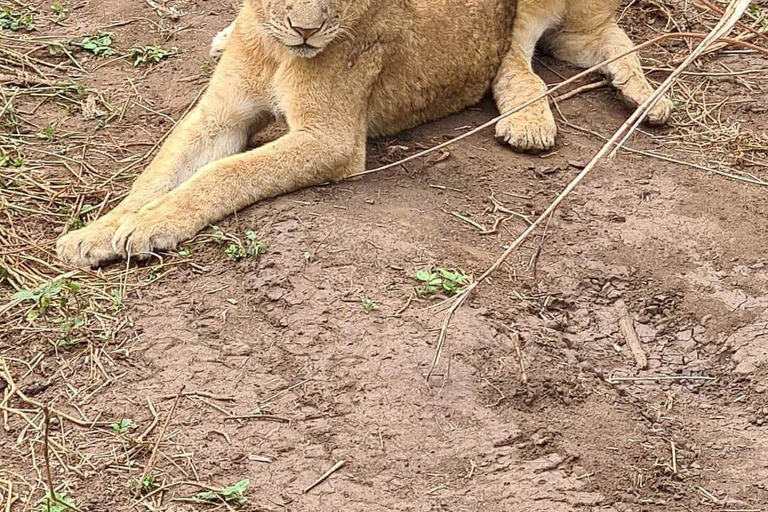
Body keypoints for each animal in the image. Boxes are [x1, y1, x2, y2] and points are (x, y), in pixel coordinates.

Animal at [58, 0, 672, 266]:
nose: (305, 29)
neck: (276, 45)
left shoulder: (330, 140)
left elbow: (224, 174)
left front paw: (147, 227)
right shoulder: (219, 115)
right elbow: (158, 173)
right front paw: (96, 233)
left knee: (526, 50)